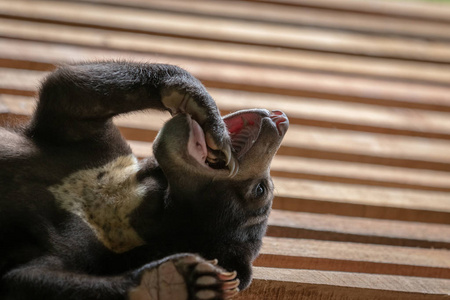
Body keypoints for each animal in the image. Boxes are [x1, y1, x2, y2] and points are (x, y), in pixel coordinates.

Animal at [0, 62, 288, 298]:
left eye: (260, 190)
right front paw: (199, 104)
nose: (280, 119)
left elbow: (25, 278)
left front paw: (183, 282)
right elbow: (71, 92)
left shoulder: (85, 247)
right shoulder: (98, 153)